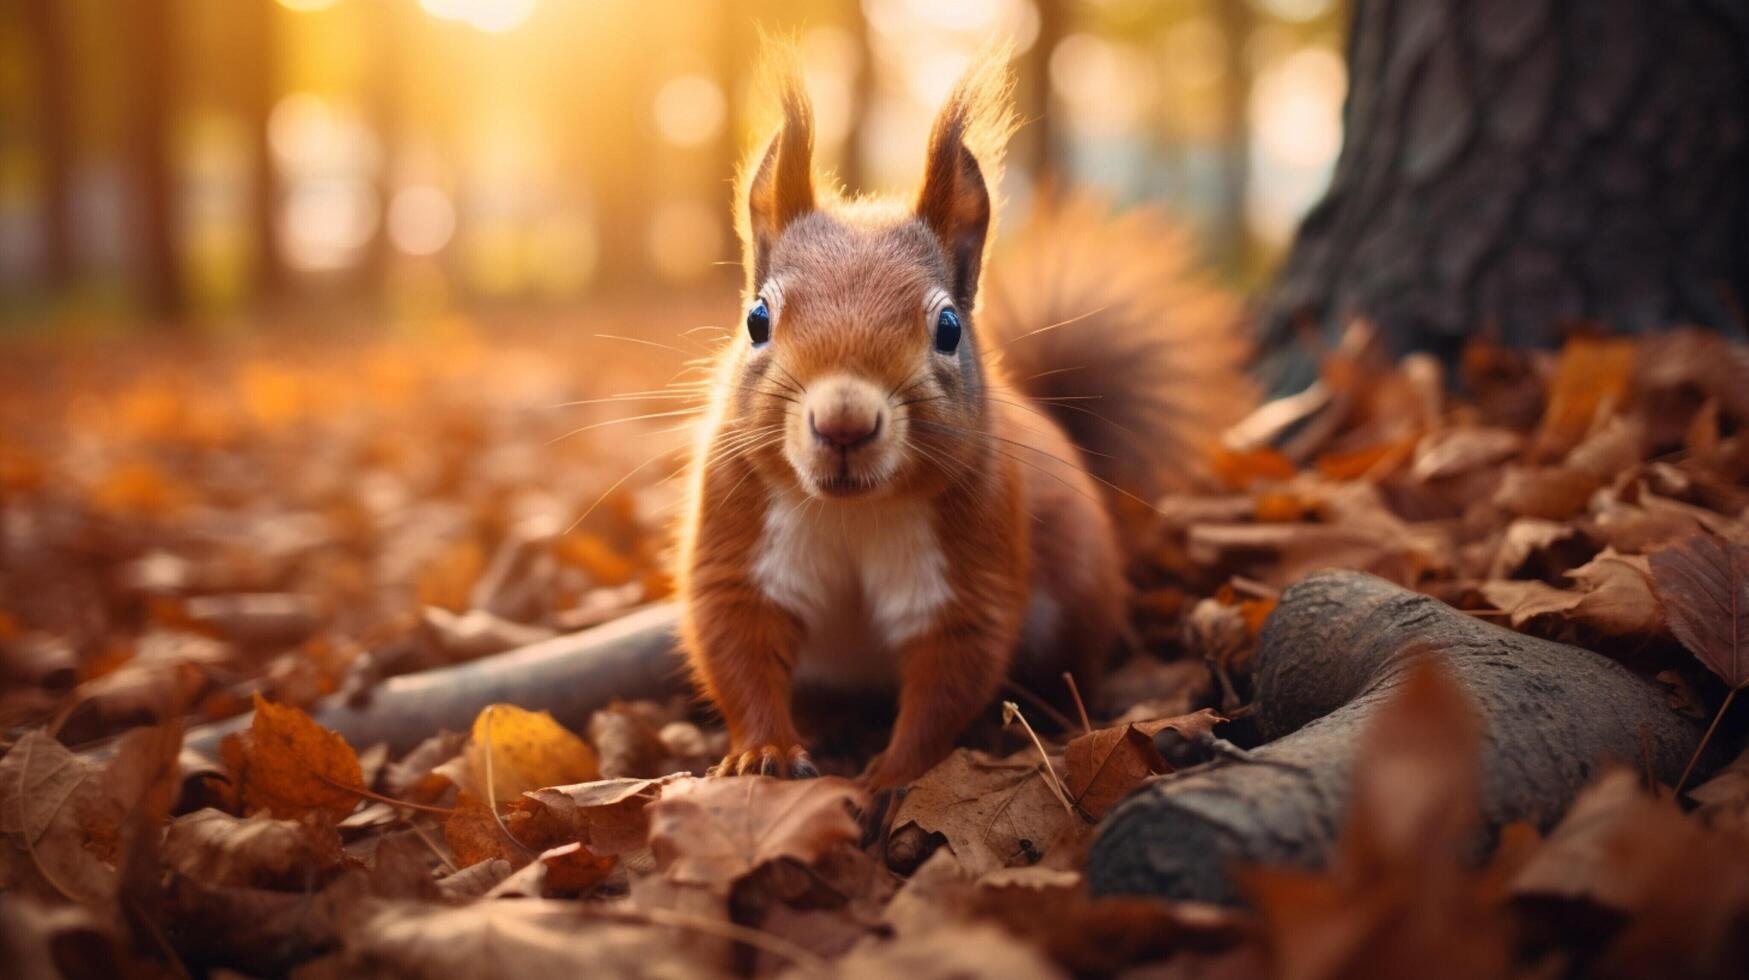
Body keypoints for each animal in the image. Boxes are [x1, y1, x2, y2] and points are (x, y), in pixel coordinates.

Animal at [675, 51, 1252, 787]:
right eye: (756, 319)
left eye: (948, 327)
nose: (843, 424)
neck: (851, 513)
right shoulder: (739, 535)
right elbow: (734, 641)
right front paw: (764, 752)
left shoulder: (969, 562)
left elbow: (949, 676)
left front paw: (892, 778)